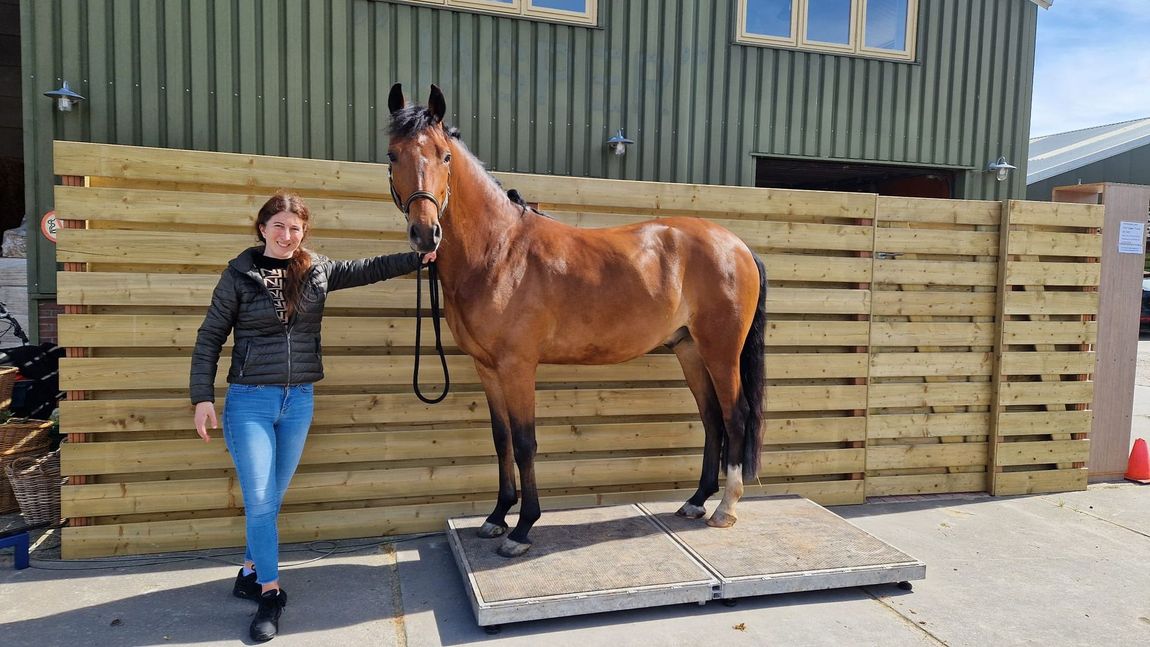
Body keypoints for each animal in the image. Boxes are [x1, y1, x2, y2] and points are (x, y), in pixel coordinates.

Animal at [386, 84, 767, 558]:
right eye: (392, 155)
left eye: (445, 156)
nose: (425, 234)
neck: (499, 251)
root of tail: (737, 245)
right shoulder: (487, 367)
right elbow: (501, 439)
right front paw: (496, 517)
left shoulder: (517, 367)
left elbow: (525, 442)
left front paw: (522, 528)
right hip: (689, 349)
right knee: (712, 417)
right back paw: (696, 501)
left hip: (721, 351)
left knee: (736, 415)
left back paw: (725, 508)